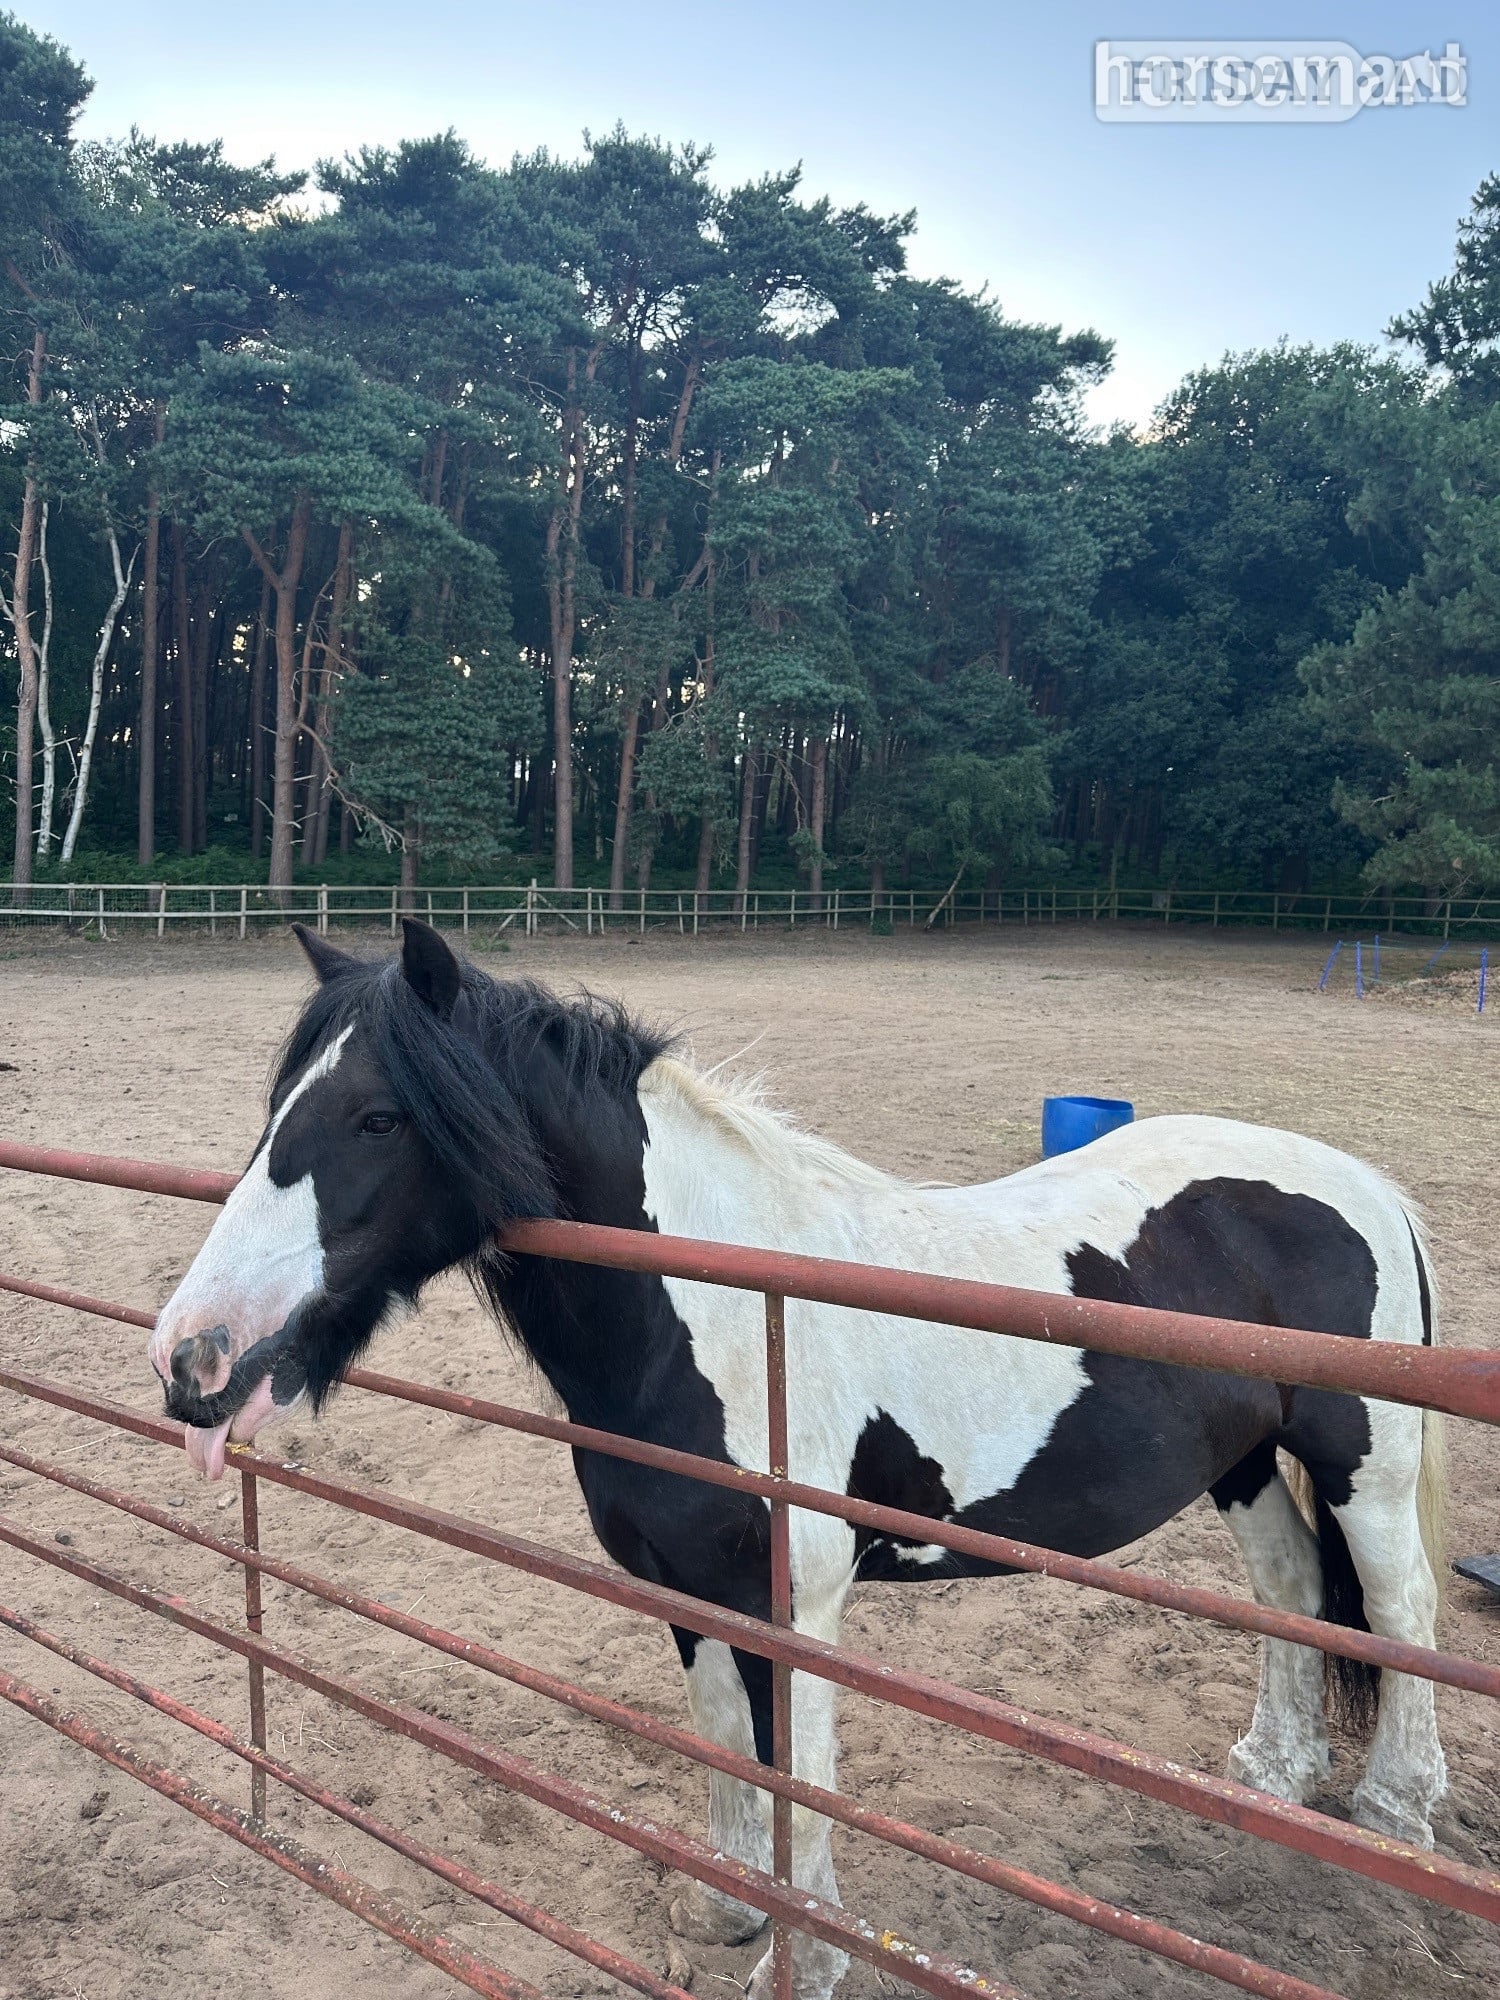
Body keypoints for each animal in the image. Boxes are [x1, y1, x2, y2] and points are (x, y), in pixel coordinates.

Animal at [148, 921, 1448, 2000]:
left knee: (1398, 1609)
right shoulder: (686, 1587)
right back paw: (1271, 1773)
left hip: (1361, 1465)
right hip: (1242, 1461)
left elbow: (798, 1775)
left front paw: (807, 1955)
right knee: (1292, 1589)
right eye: (278, 1107)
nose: (190, 1353)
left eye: (378, 1117)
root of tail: (1365, 1182)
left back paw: (1396, 1806)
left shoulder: (798, 1597)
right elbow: (730, 1742)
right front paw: (731, 1907)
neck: (712, 1308)